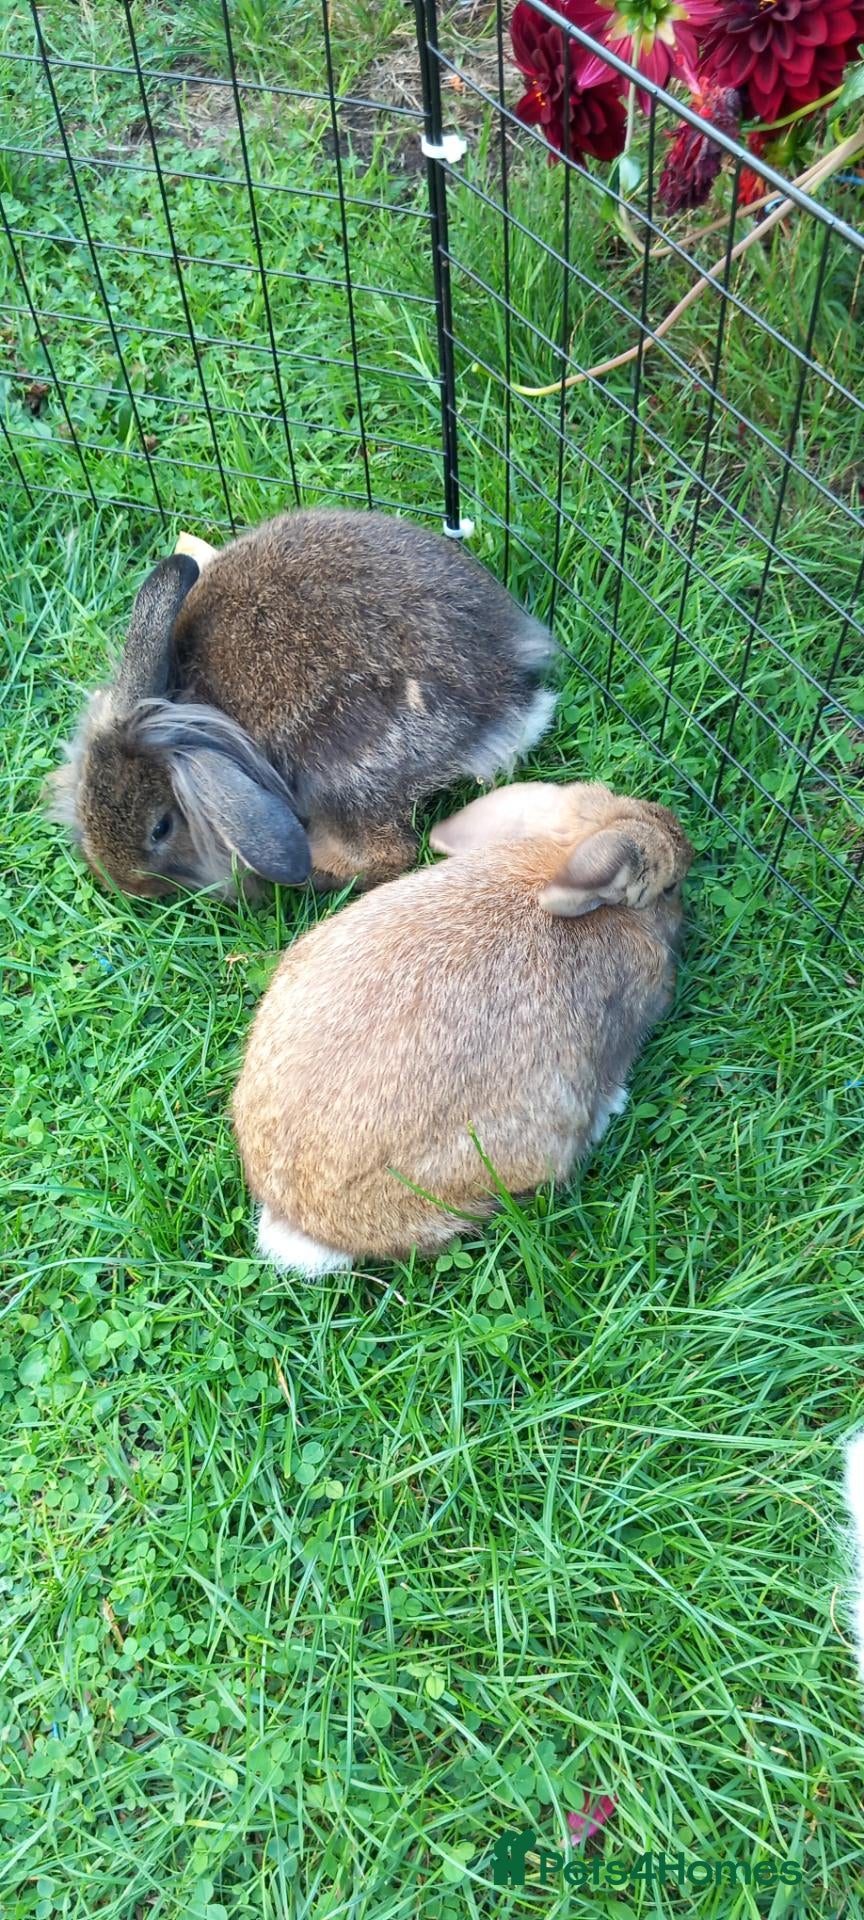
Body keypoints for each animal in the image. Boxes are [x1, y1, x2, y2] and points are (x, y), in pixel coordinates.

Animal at [46, 508, 556, 900]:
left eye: (161, 828)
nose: (125, 886)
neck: (191, 706)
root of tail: (506, 699)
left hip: (344, 773)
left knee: (388, 853)